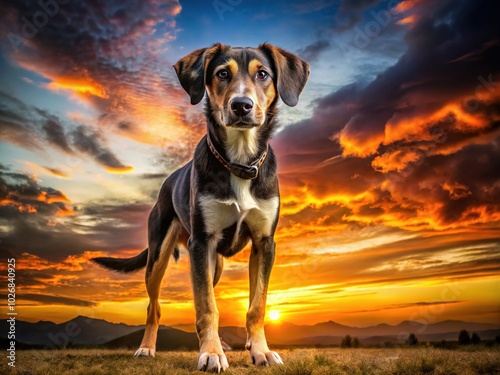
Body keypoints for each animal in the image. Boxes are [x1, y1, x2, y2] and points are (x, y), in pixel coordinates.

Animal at [91, 44, 308, 374]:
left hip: (213, 265)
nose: (241, 106)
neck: (239, 162)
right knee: (153, 307)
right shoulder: (201, 242)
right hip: (159, 257)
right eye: (222, 74)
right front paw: (211, 353)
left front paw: (260, 351)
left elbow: (256, 306)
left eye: (262, 74)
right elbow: (206, 307)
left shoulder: (264, 243)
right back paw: (146, 348)